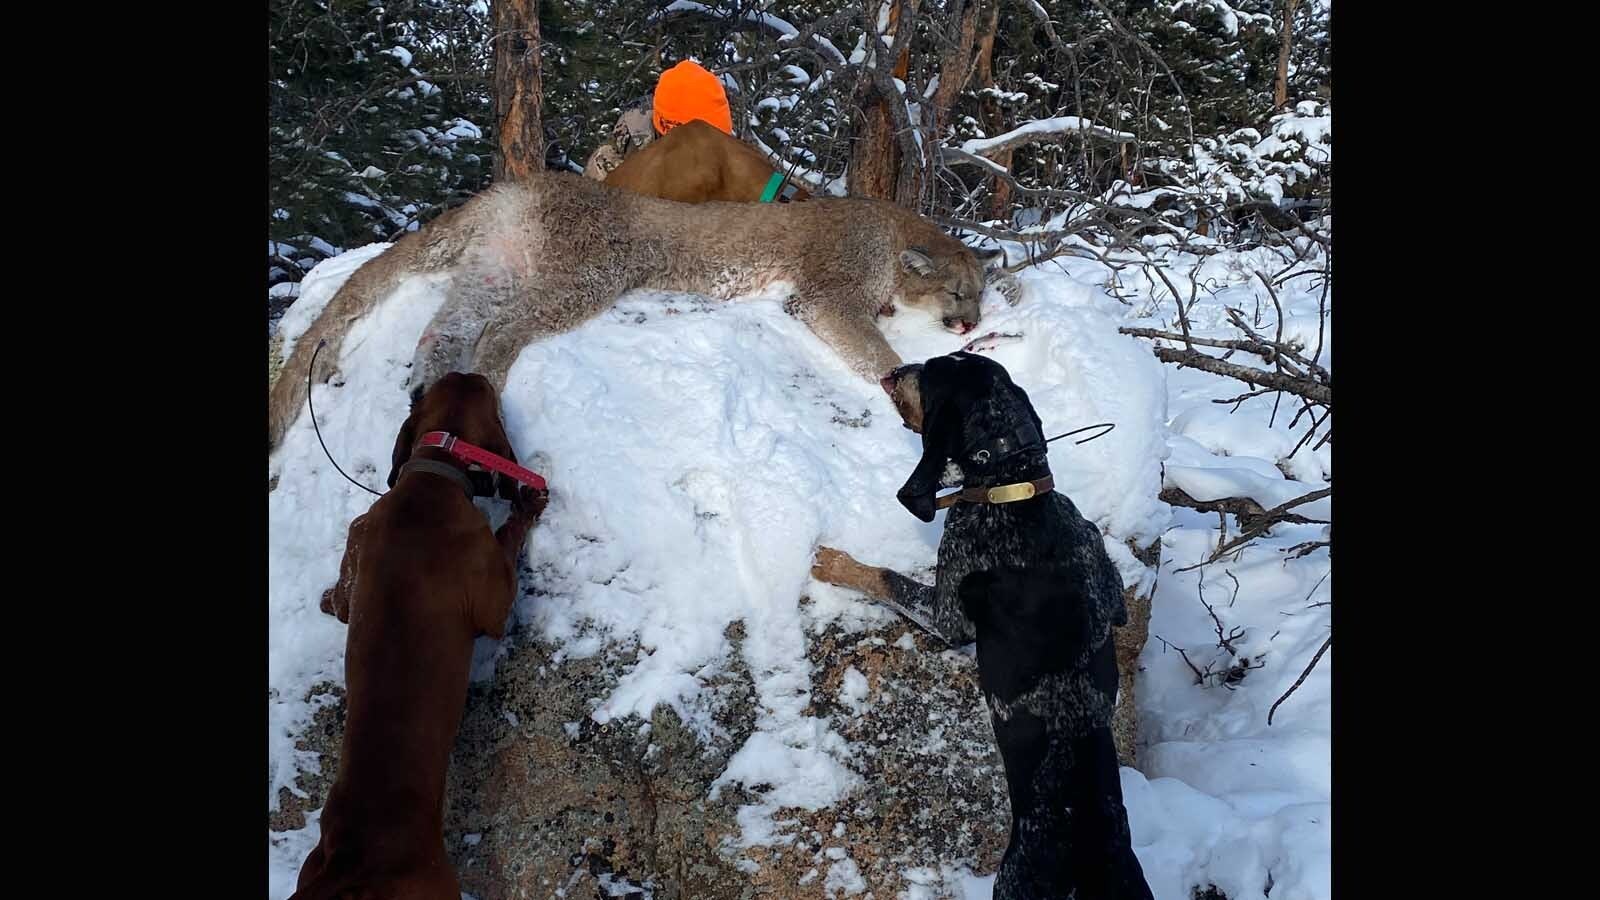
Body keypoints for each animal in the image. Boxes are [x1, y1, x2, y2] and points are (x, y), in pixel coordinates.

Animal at [294, 369, 550, 896]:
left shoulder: (358, 541)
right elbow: (509, 537)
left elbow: (340, 599)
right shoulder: (493, 598)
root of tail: (348, 863)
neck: (433, 475)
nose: (473, 371)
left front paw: (327, 599)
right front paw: (527, 504)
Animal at [812, 350, 1152, 896]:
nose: (894, 369)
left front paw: (833, 563)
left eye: (930, 374)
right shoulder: (1103, 575)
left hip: (1007, 883)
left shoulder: (947, 609)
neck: (1012, 487)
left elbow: (885, 578)